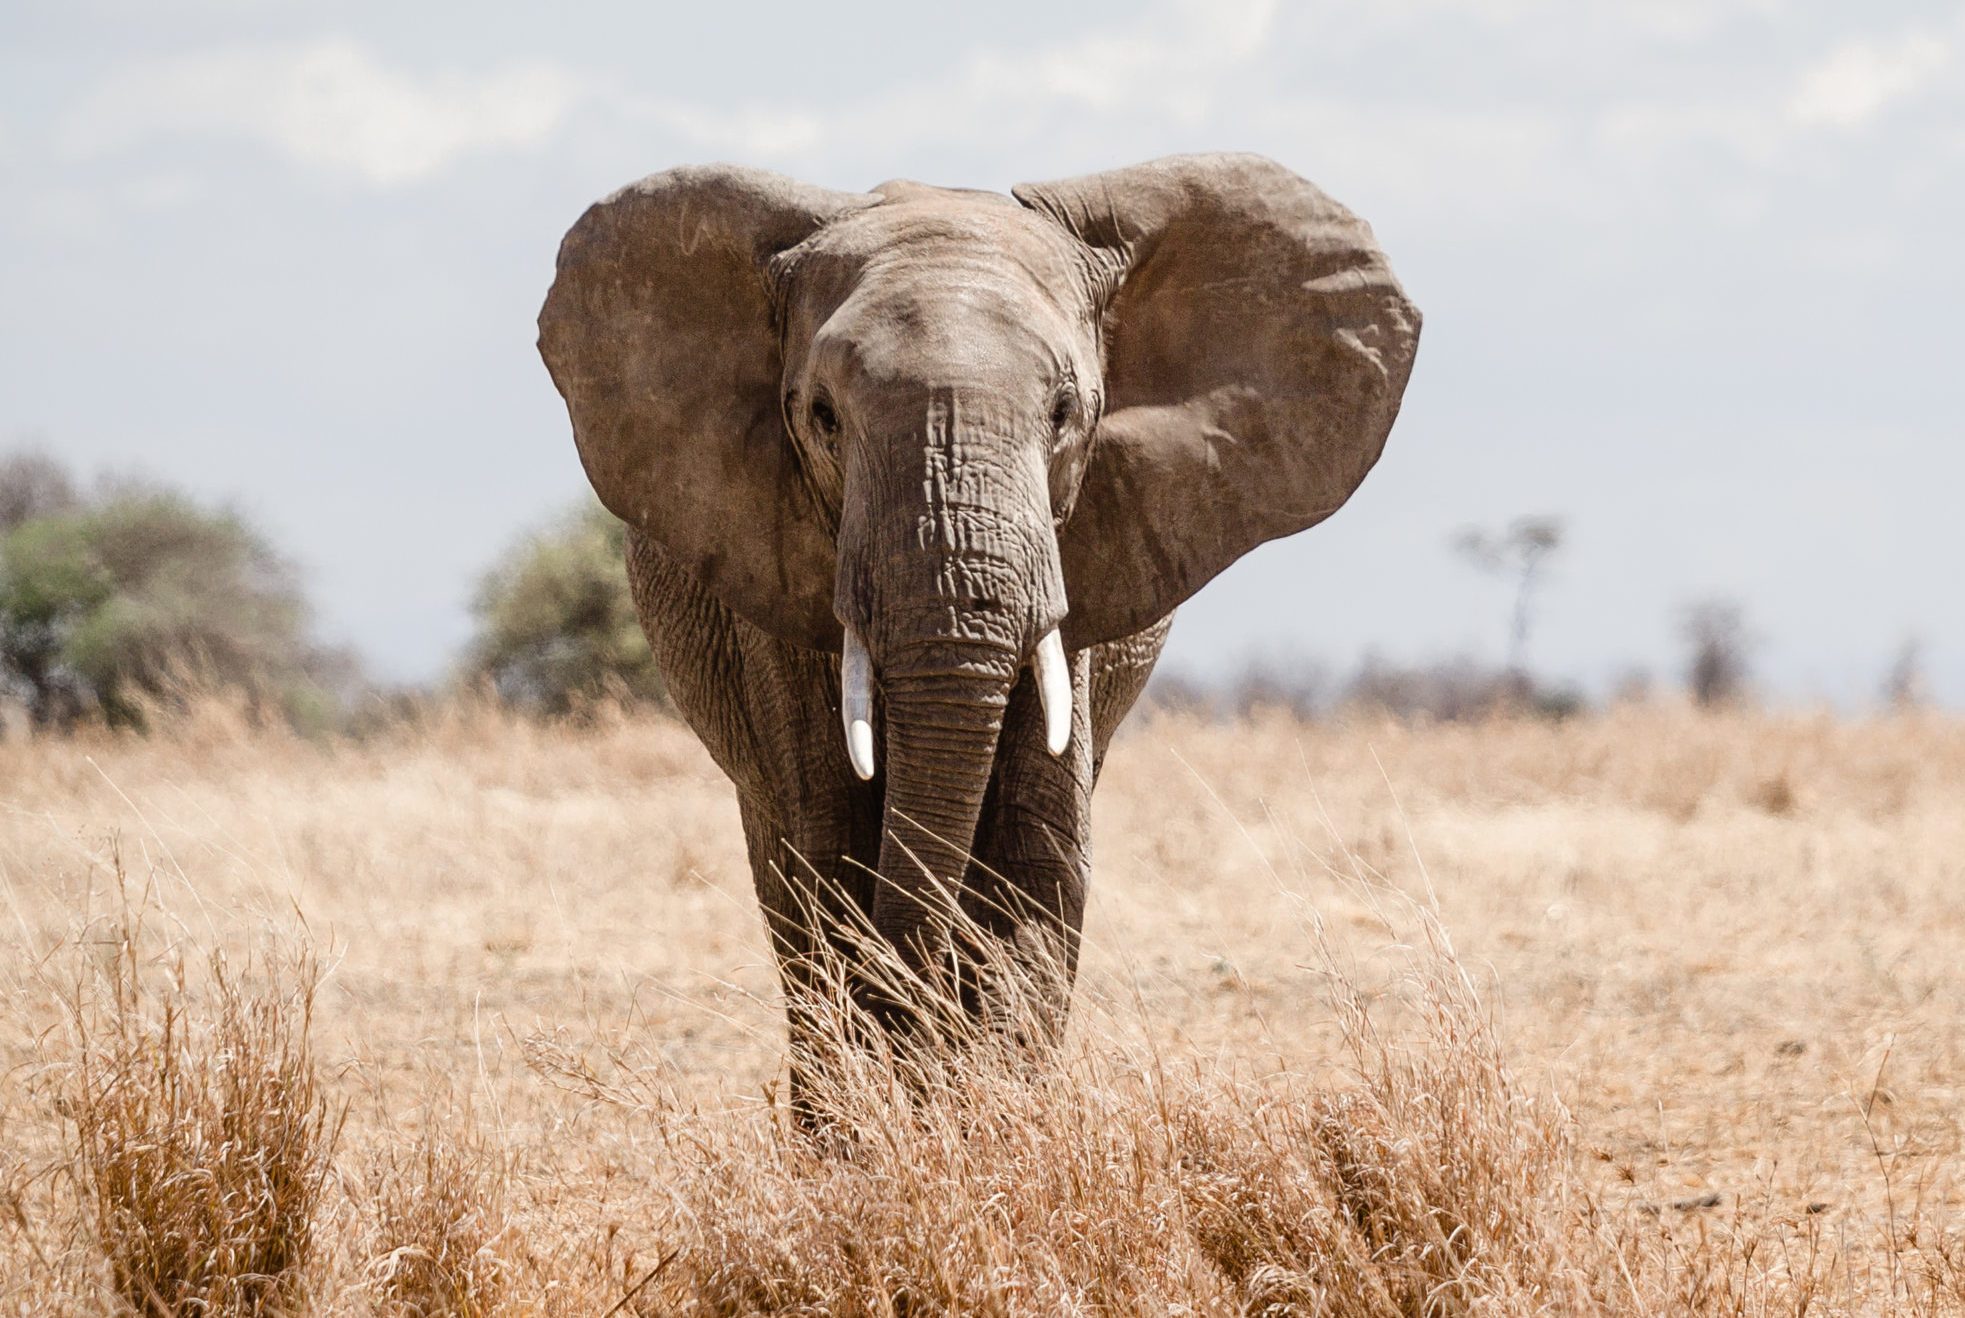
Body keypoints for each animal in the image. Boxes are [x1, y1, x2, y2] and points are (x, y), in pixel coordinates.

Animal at [537, 152, 1419, 1091]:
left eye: (1066, 412)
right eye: (822, 416)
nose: (907, 1015)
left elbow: (1035, 853)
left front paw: (990, 1110)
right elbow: (832, 841)